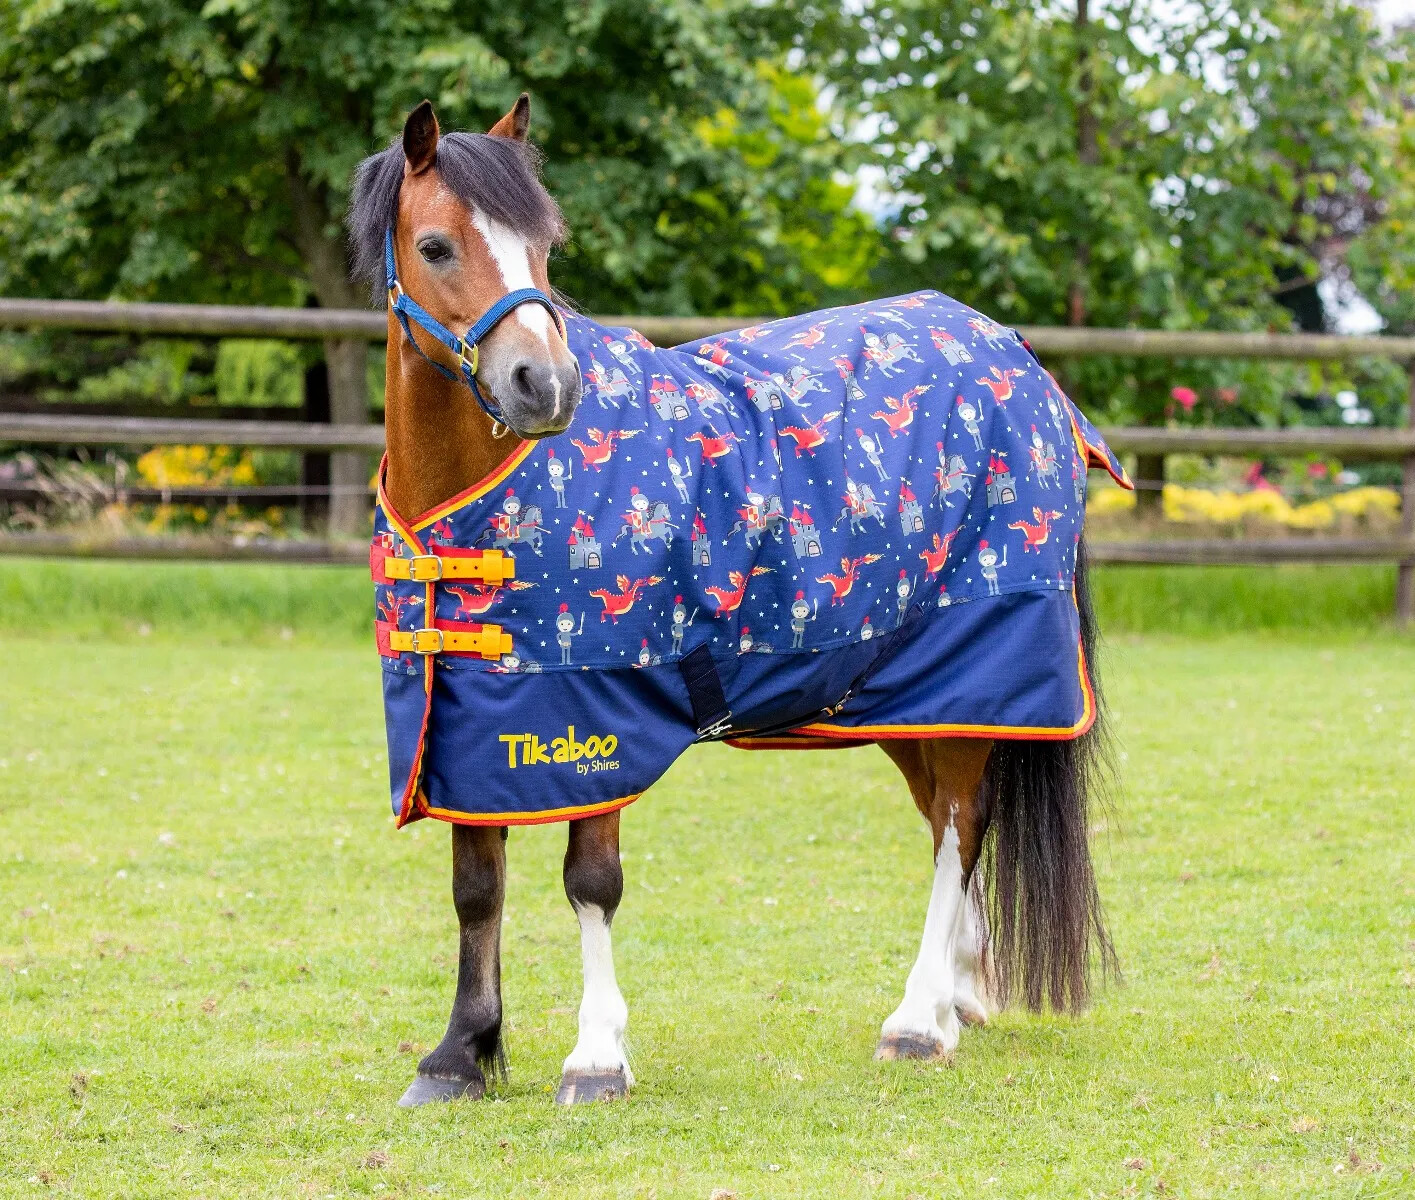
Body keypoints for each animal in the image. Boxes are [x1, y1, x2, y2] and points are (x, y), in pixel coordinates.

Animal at [350, 97, 1119, 1108]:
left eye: (546, 247)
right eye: (435, 246)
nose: (543, 385)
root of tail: (1020, 364)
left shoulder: (600, 714)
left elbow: (590, 881)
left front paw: (595, 1057)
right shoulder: (471, 729)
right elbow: (476, 885)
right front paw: (456, 1057)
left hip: (975, 674)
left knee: (959, 826)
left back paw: (918, 1022)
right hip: (908, 694)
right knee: (951, 824)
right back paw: (960, 997)